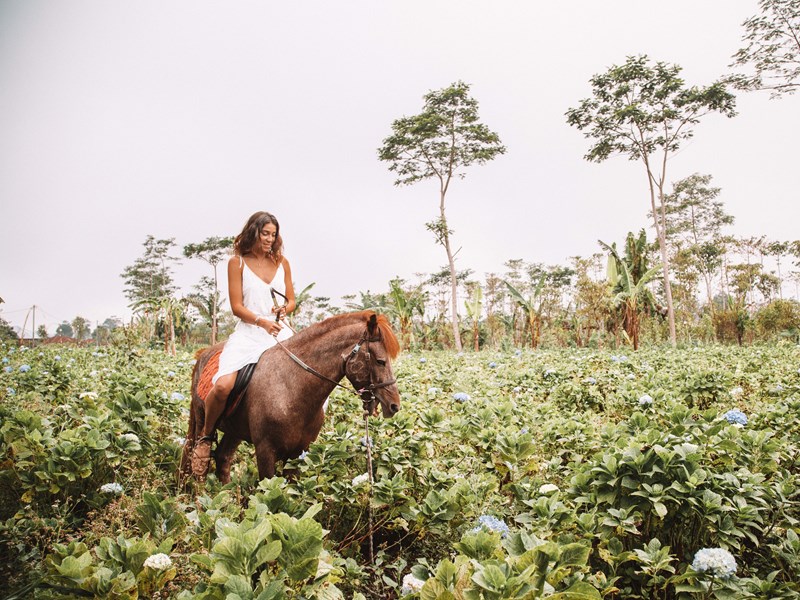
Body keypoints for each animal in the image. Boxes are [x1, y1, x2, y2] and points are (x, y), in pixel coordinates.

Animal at [184, 310, 404, 482]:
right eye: (381, 361)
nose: (394, 405)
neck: (291, 388)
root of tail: (203, 355)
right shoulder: (265, 451)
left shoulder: (298, 453)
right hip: (203, 421)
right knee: (198, 457)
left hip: (234, 430)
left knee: (222, 458)